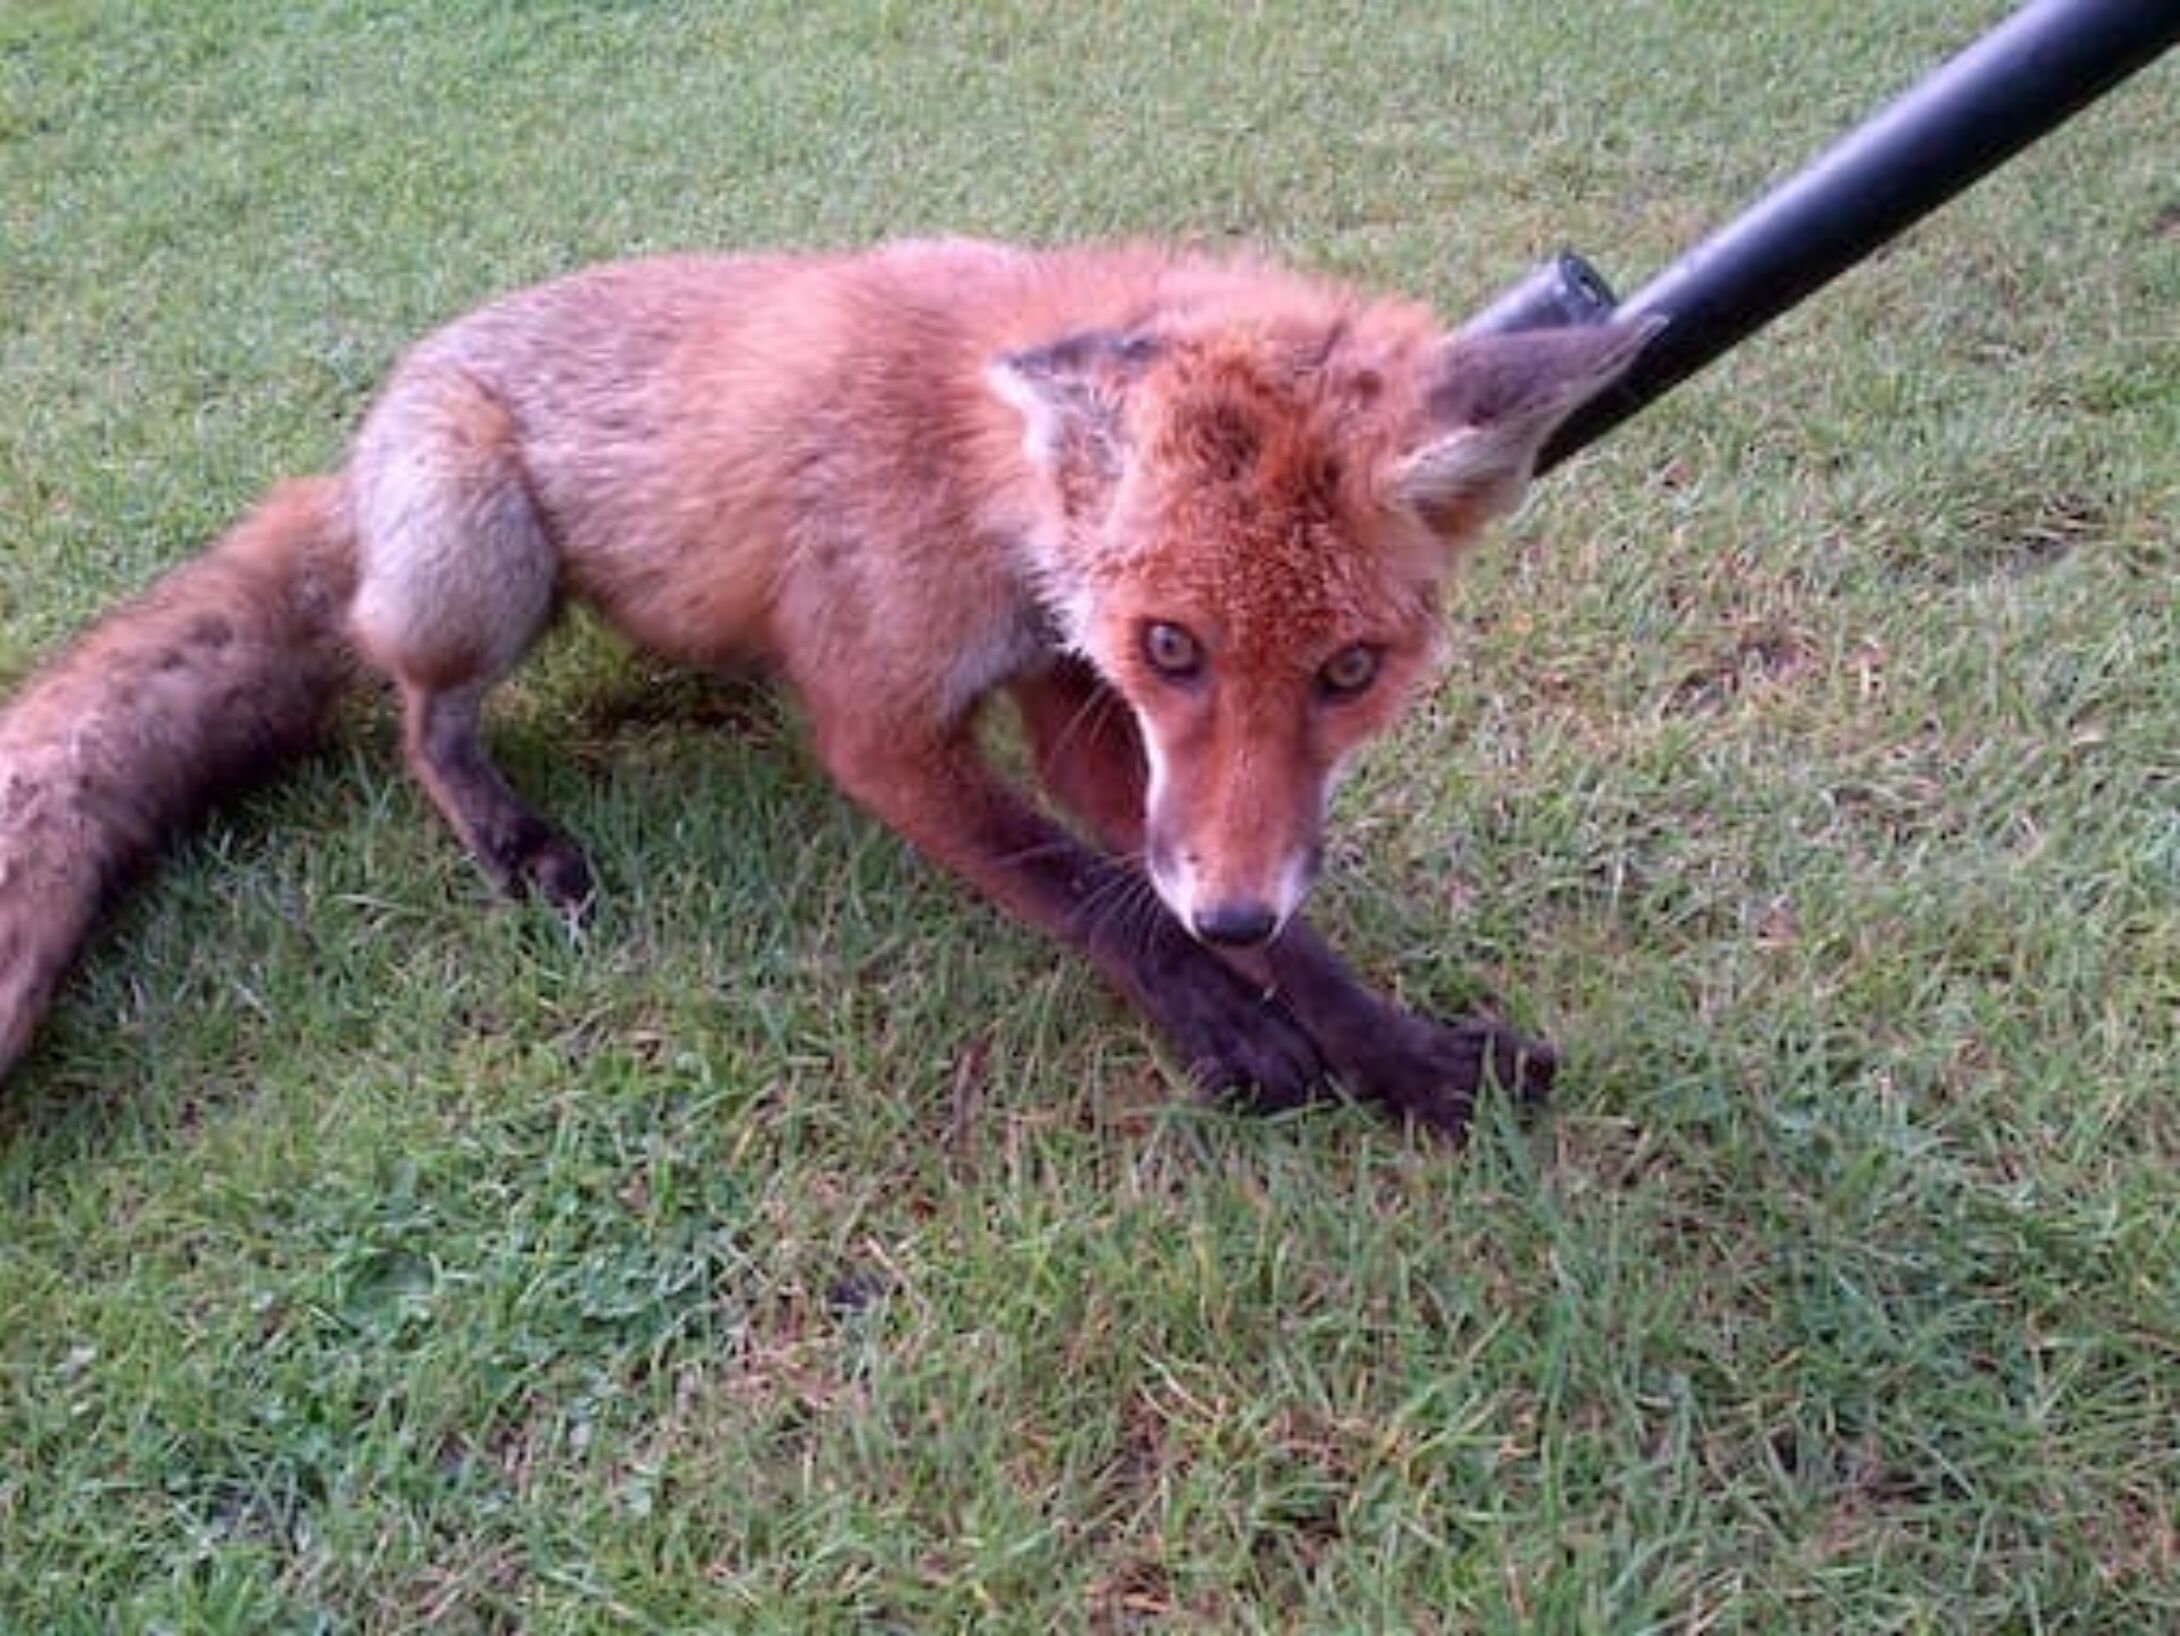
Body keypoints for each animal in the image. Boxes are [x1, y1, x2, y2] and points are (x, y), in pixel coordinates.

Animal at [0, 239, 1652, 1136]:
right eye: (1177, 647)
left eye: (1351, 672)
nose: (1234, 914)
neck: (985, 498)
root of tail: (354, 450)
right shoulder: (884, 726)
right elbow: (1081, 889)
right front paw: (1220, 1017)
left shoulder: (1079, 703)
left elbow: (1195, 890)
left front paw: (1392, 1046)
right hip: (480, 554)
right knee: (416, 711)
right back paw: (504, 831)